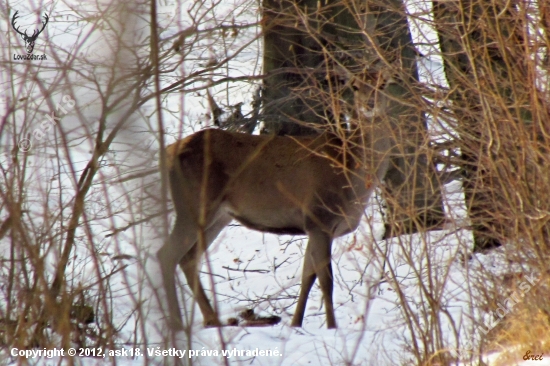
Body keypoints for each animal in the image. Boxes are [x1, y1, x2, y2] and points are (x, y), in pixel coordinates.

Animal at [157, 71, 394, 328]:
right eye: (355, 86)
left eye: (383, 84)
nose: (369, 104)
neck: (350, 169)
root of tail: (169, 151)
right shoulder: (319, 218)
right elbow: (326, 280)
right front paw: (332, 327)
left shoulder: (313, 226)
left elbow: (307, 277)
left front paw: (296, 324)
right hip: (192, 205)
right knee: (166, 255)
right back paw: (178, 324)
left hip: (219, 215)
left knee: (189, 258)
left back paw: (212, 320)